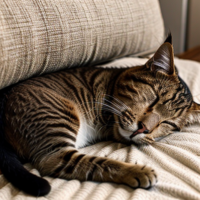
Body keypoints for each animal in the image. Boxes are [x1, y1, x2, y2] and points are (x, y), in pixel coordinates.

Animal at [0, 34, 199, 197]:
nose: (144, 129)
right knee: (68, 161)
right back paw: (136, 171)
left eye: (168, 123)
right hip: (56, 122)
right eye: (154, 98)